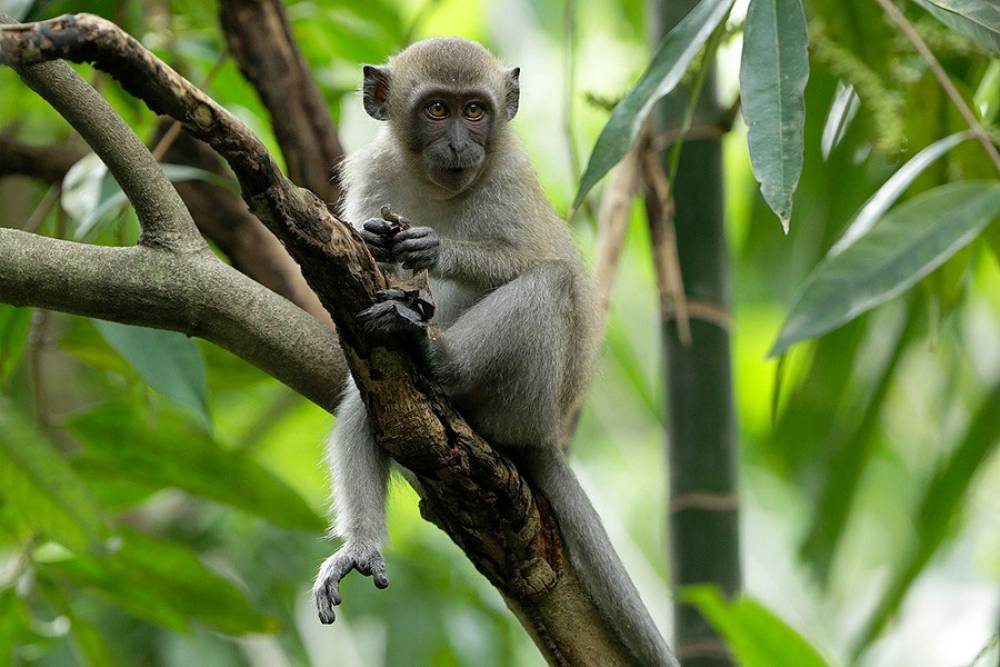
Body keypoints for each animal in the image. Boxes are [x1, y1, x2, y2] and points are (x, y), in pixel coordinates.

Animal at [312, 38, 676, 666]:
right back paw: (362, 543)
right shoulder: (373, 170)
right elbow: (358, 269)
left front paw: (433, 247)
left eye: (476, 110)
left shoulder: (508, 176)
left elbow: (539, 260)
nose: (461, 143)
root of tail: (547, 432)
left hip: (522, 403)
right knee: (369, 400)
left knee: (549, 284)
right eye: (438, 109)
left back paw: (438, 358)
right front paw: (376, 247)